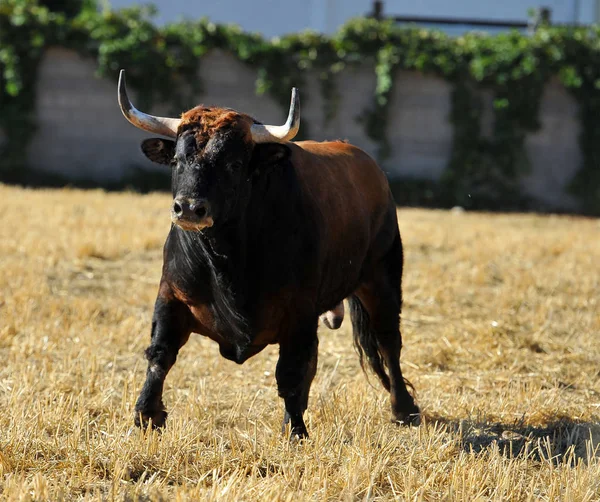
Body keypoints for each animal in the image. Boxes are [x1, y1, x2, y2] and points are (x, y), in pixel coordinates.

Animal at [116, 68, 418, 438]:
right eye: (176, 160)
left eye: (234, 163)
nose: (188, 208)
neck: (229, 260)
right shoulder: (171, 295)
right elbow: (160, 354)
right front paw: (146, 414)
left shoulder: (298, 313)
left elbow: (289, 372)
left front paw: (296, 430)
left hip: (381, 277)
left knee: (388, 340)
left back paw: (404, 408)